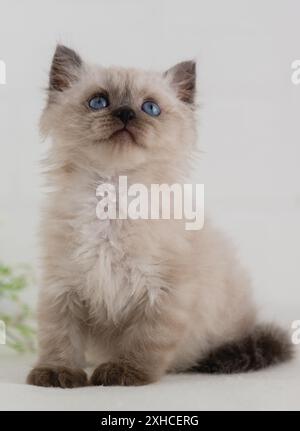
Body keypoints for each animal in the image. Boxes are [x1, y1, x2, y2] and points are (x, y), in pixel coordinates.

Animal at [27, 44, 292, 388]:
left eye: (150, 108)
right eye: (99, 101)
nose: (126, 114)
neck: (112, 197)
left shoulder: (164, 292)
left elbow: (145, 342)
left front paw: (123, 373)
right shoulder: (62, 287)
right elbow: (59, 338)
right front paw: (57, 373)